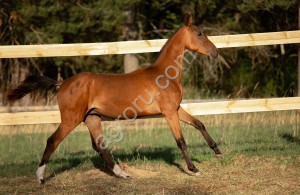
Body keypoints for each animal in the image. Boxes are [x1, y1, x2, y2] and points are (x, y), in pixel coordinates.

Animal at [6, 14, 220, 183]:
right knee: (52, 141)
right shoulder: (168, 112)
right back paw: (41, 178)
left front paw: (217, 151)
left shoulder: (175, 109)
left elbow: (199, 124)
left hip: (92, 118)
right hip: (71, 119)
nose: (215, 52)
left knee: (99, 147)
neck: (164, 75)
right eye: (199, 34)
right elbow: (181, 141)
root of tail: (62, 83)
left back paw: (122, 174)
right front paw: (194, 170)